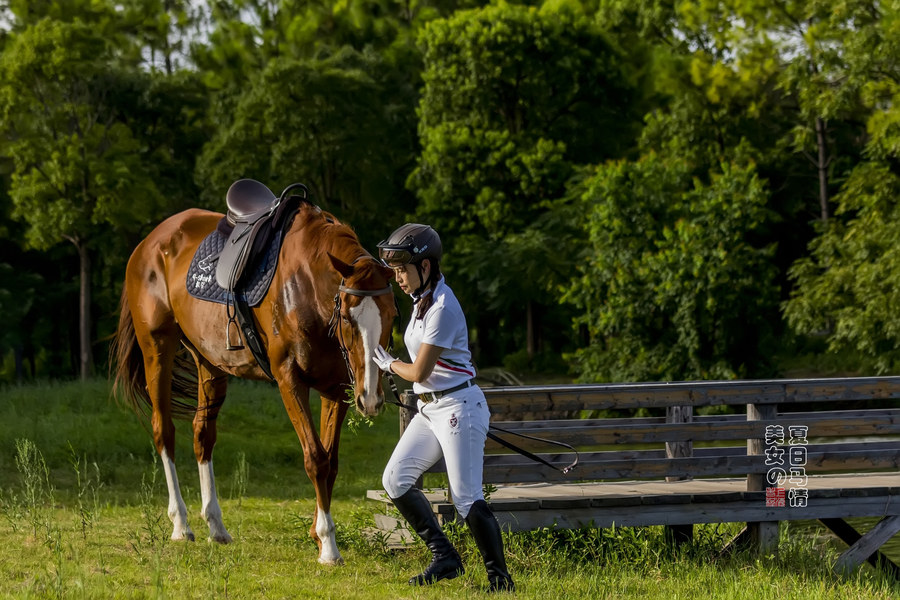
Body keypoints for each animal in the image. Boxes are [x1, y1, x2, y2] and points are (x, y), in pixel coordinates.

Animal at [112, 200, 394, 564]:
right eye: (347, 316)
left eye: (391, 315)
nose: (371, 399)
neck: (308, 287)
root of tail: (149, 243)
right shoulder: (290, 380)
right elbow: (315, 459)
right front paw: (328, 545)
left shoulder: (335, 390)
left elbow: (330, 462)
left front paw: (318, 535)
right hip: (157, 348)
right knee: (164, 431)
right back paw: (181, 525)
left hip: (210, 362)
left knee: (202, 434)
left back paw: (215, 525)